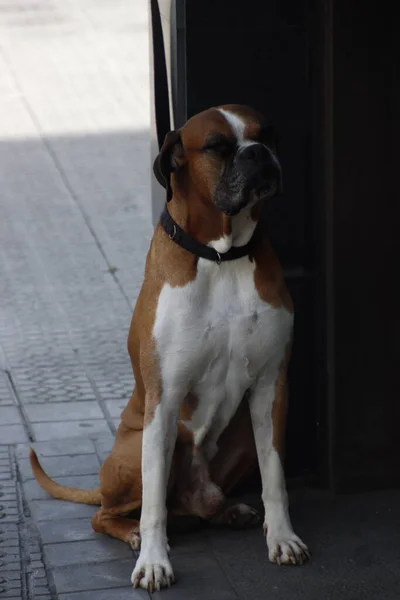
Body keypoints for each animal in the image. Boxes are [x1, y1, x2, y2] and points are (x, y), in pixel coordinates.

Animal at [30, 103, 310, 592]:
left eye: (267, 135)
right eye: (217, 146)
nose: (258, 153)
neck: (221, 255)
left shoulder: (271, 386)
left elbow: (274, 476)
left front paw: (282, 538)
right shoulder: (164, 399)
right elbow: (155, 506)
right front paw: (154, 562)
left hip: (238, 437)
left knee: (195, 507)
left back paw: (228, 512)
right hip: (136, 449)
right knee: (109, 513)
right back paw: (131, 535)